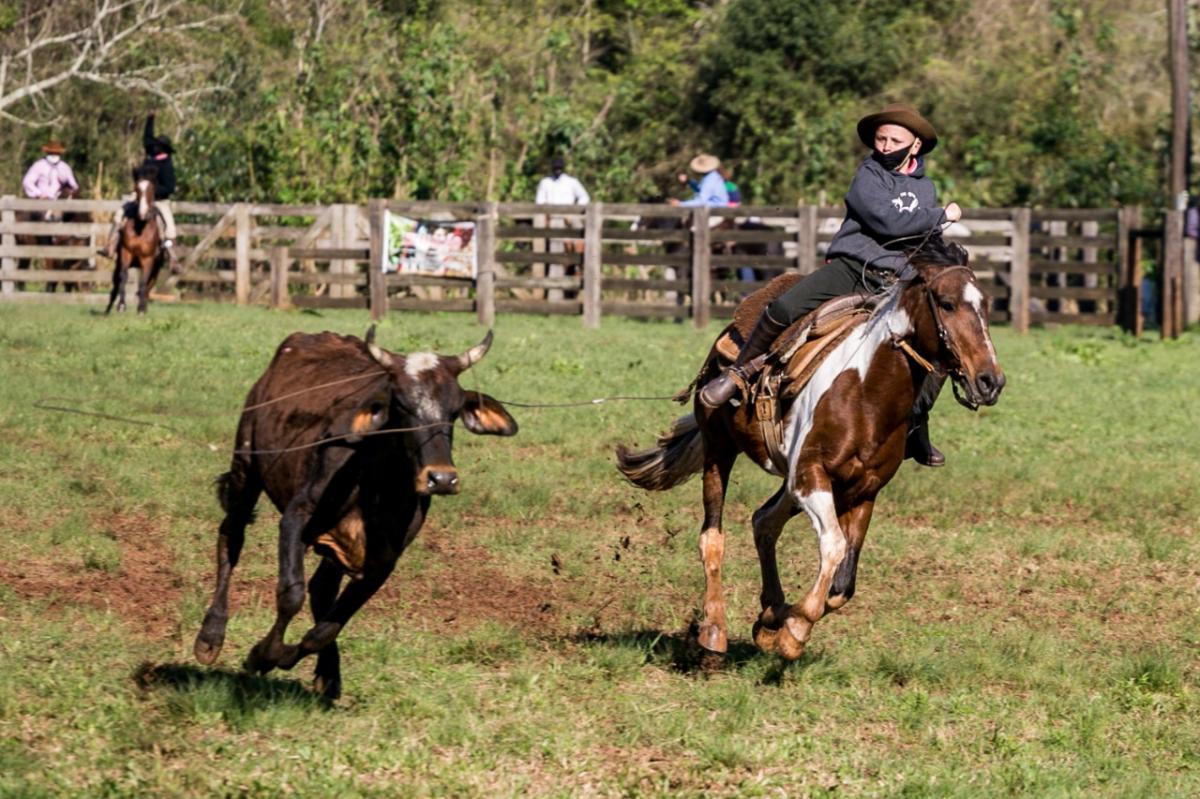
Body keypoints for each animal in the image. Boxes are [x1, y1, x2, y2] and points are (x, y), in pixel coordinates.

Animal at [108, 166, 166, 311]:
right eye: (137, 189)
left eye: (152, 188)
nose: (143, 213)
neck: (141, 227)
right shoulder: (126, 253)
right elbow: (123, 277)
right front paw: (121, 305)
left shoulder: (148, 259)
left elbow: (143, 282)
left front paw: (141, 308)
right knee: (116, 285)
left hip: (156, 268)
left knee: (148, 286)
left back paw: (143, 306)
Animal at [619, 235, 1003, 657]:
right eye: (946, 303)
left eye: (986, 305)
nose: (991, 381)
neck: (867, 392)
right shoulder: (810, 476)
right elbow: (833, 546)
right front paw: (794, 631)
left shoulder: (862, 490)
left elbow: (842, 584)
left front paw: (783, 622)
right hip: (720, 448)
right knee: (713, 538)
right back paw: (714, 630)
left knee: (764, 521)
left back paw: (770, 612)